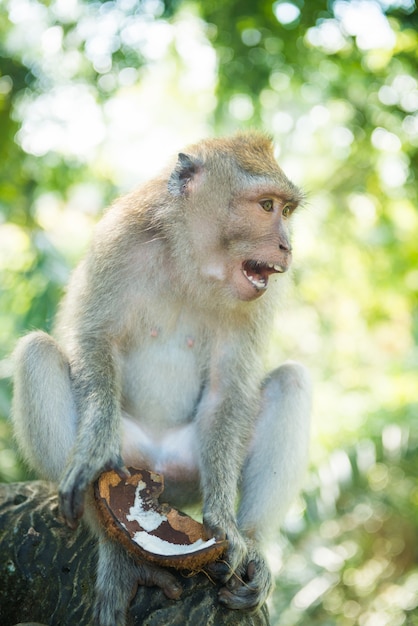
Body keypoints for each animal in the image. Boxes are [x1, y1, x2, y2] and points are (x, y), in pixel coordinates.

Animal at [12, 129, 310, 620]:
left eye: (286, 211)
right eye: (266, 206)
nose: (287, 246)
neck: (191, 260)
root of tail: (156, 468)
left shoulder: (259, 297)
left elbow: (228, 390)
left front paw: (226, 525)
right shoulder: (120, 236)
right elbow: (95, 339)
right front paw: (93, 451)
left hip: (189, 473)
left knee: (292, 382)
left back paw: (253, 547)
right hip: (130, 453)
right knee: (36, 354)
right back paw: (117, 549)